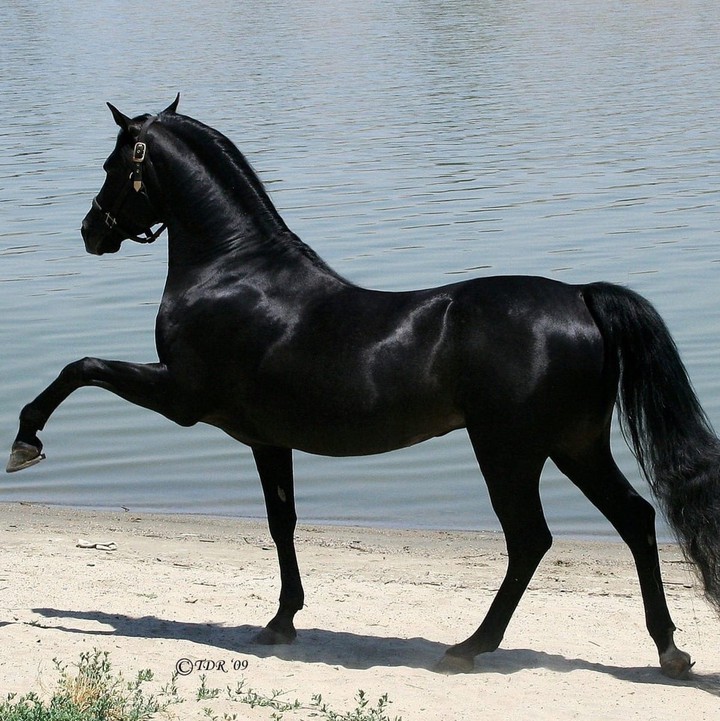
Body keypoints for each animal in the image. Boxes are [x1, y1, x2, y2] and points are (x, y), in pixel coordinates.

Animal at [7, 97, 720, 678]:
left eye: (112, 162)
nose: (90, 231)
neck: (233, 270)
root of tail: (579, 297)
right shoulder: (267, 438)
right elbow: (282, 521)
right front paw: (282, 621)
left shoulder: (181, 397)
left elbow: (80, 367)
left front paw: (25, 441)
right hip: (574, 445)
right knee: (635, 519)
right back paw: (669, 651)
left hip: (510, 451)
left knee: (531, 541)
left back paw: (469, 648)